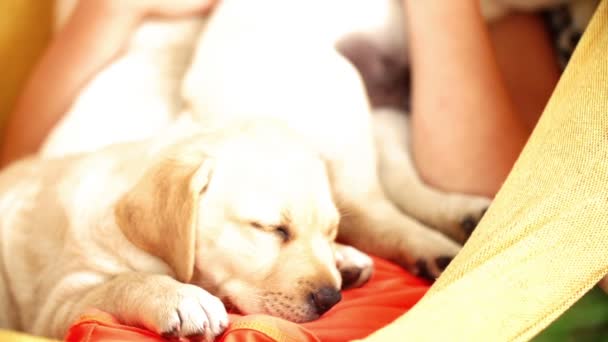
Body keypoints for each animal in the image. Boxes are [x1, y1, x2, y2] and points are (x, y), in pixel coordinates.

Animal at [0, 119, 376, 338]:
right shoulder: (60, 303)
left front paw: (344, 257)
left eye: (331, 231)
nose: (331, 299)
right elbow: (122, 282)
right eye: (272, 229)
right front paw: (181, 297)